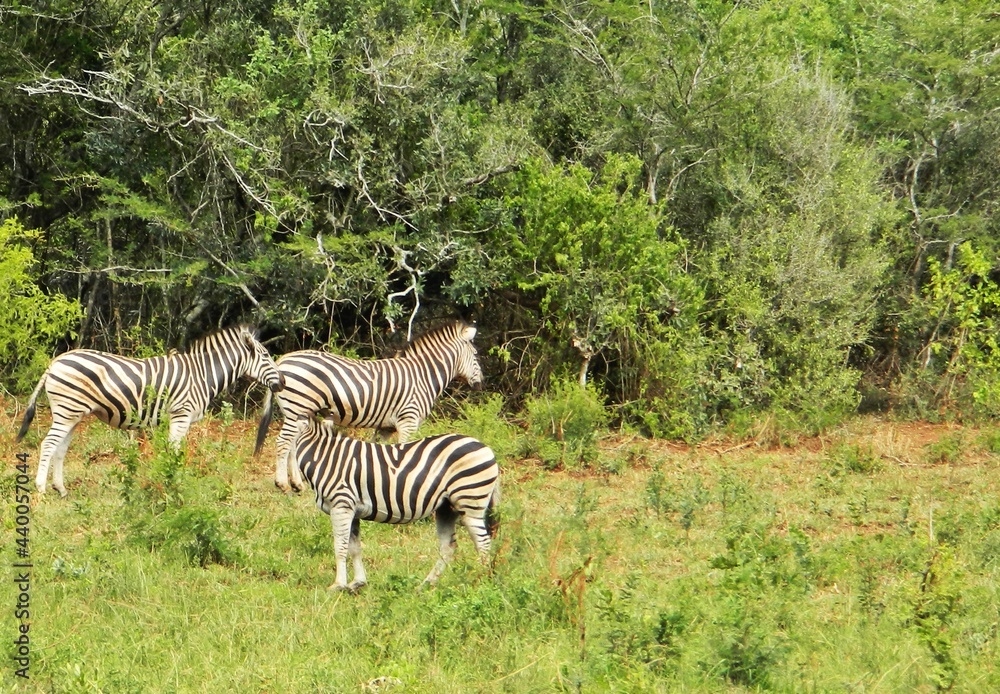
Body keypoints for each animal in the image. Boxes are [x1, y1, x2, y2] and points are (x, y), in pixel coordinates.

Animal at [17, 325, 284, 496]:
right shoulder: (181, 414)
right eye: (265, 356)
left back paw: (60, 489)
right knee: (48, 444)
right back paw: (40, 487)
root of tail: (55, 361)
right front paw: (173, 482)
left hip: (72, 413)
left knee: (60, 448)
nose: (282, 382)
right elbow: (175, 452)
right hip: (67, 410)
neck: (202, 374)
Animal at [256, 320, 483, 493]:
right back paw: (283, 484)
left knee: (293, 444)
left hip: (299, 412)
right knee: (283, 443)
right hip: (297, 407)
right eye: (476, 355)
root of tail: (282, 360)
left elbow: (382, 454)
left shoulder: (385, 427)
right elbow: (404, 453)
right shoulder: (408, 420)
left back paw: (297, 484)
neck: (422, 375)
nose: (481, 383)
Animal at [291, 417, 500, 591]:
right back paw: (426, 585)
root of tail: (487, 449)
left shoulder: (341, 504)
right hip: (446, 508)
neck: (324, 459)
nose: (294, 487)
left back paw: (479, 581)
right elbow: (355, 548)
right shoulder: (353, 510)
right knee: (448, 547)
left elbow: (340, 547)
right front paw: (358, 583)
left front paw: (338, 585)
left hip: (470, 500)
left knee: (483, 542)